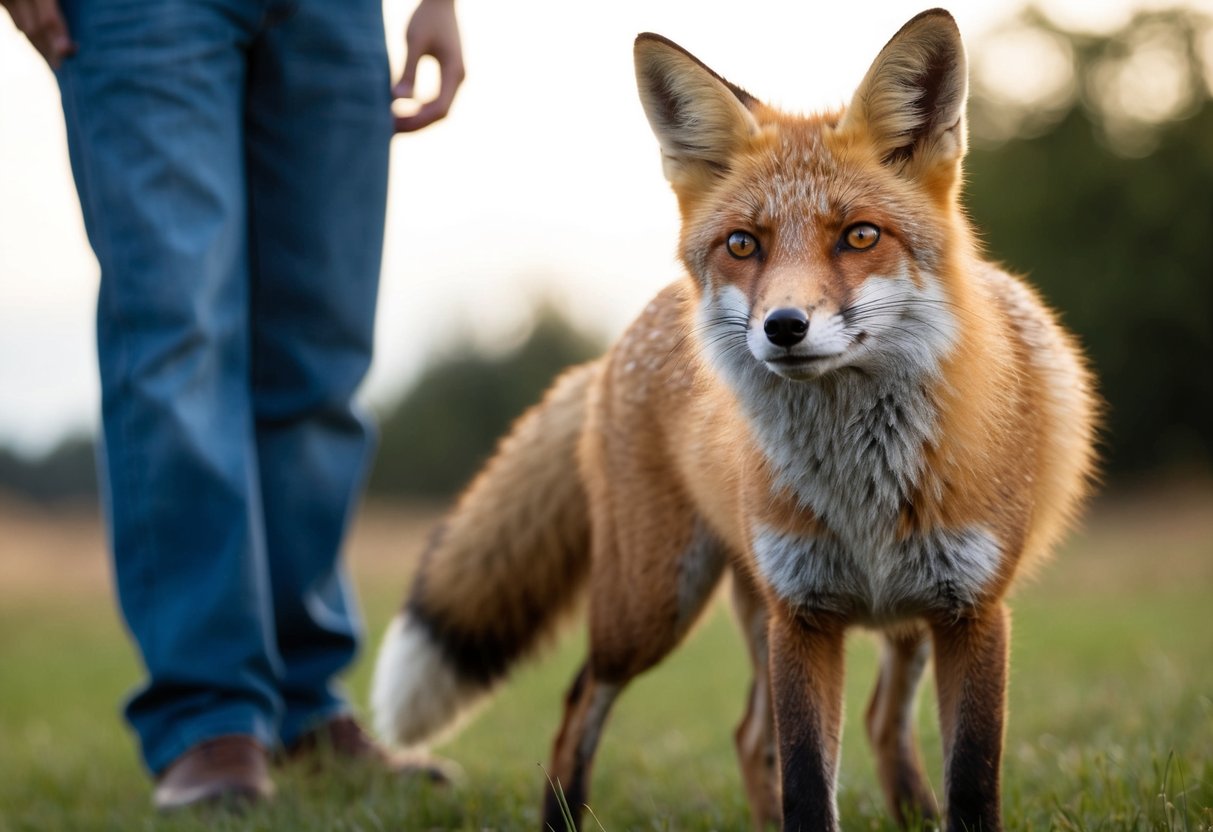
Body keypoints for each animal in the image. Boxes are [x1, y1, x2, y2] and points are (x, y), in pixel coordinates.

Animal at [371, 9, 1098, 832]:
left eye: (859, 235)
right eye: (742, 245)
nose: (783, 326)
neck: (862, 492)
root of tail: (618, 343)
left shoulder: (971, 613)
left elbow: (969, 785)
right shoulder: (802, 615)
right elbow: (807, 785)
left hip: (881, 621)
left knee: (834, 726)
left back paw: (907, 809)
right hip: (651, 605)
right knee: (590, 703)